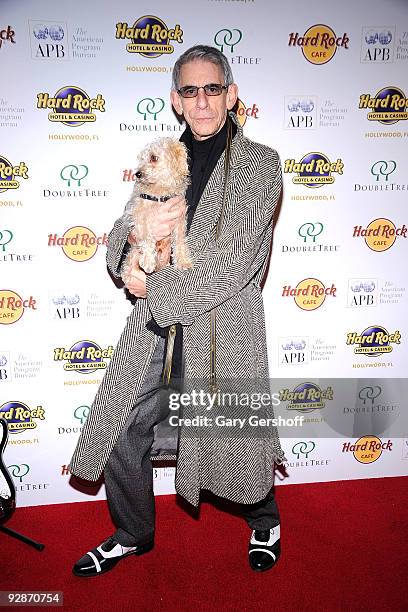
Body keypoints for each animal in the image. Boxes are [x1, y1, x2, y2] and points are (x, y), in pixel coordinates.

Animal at [120, 136, 192, 282]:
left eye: (153, 157)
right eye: (141, 158)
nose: (137, 174)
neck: (160, 191)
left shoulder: (179, 219)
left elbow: (180, 241)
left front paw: (183, 261)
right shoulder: (139, 215)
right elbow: (147, 236)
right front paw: (148, 260)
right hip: (133, 251)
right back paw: (127, 274)